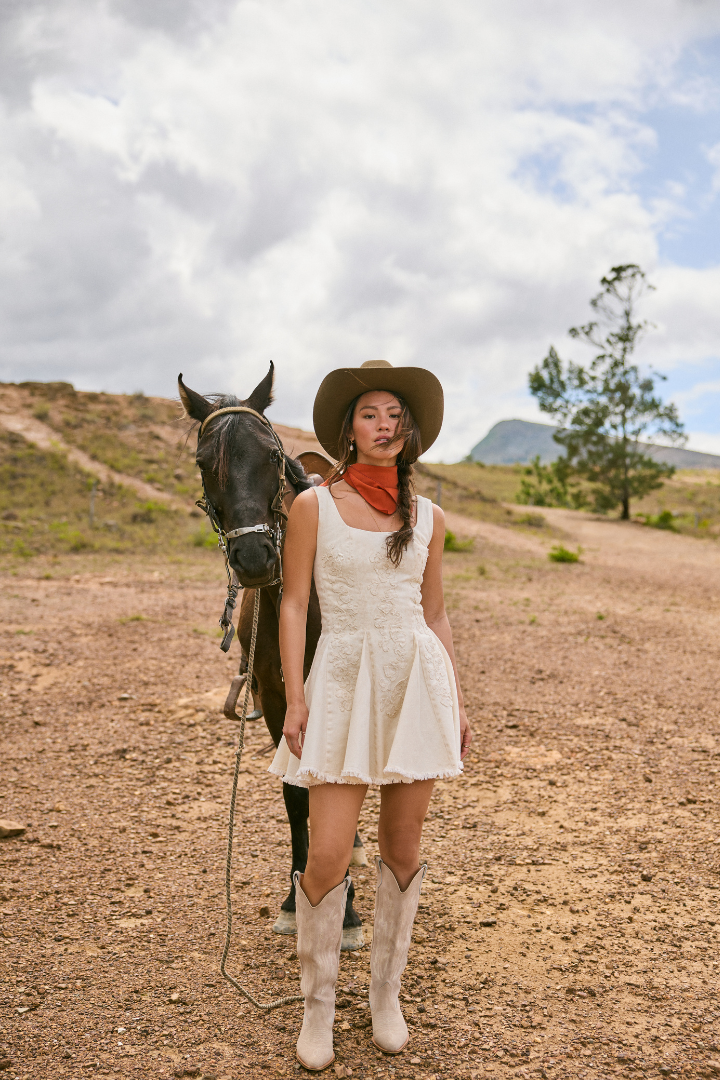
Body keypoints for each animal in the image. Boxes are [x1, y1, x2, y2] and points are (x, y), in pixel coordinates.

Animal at [178, 365, 364, 949]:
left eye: (270, 454)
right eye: (203, 462)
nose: (255, 557)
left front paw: (346, 909)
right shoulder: (280, 703)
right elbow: (296, 795)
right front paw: (297, 898)